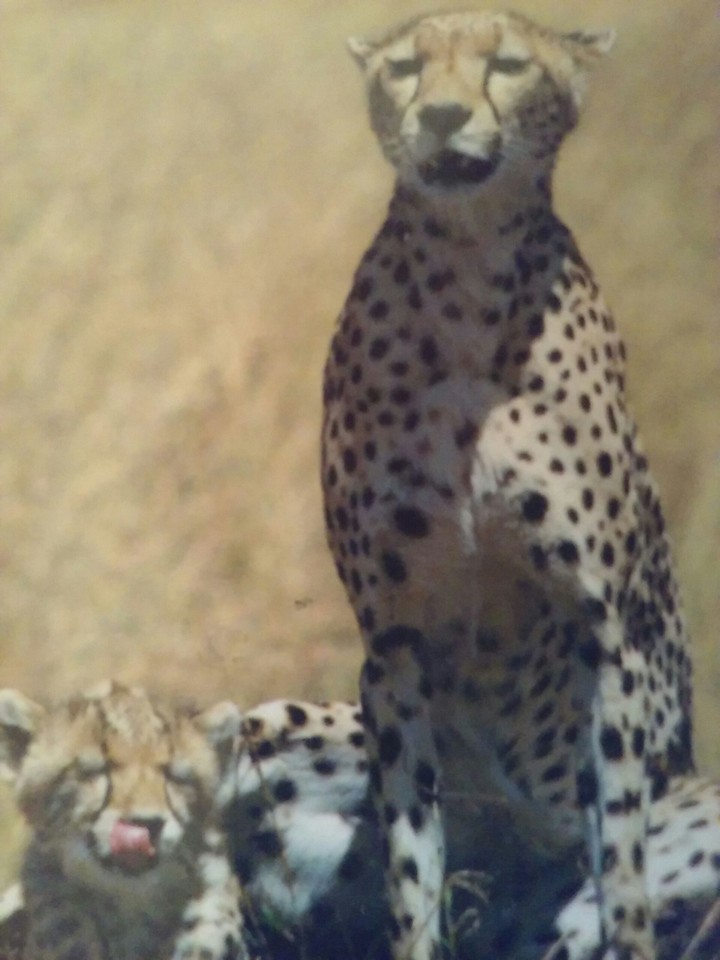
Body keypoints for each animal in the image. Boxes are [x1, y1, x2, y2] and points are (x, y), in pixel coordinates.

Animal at [321, 10, 693, 960]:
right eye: (406, 69)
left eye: (508, 64)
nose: (443, 116)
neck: (467, 278)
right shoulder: (394, 648)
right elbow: (412, 864)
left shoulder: (606, 632)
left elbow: (623, 859)